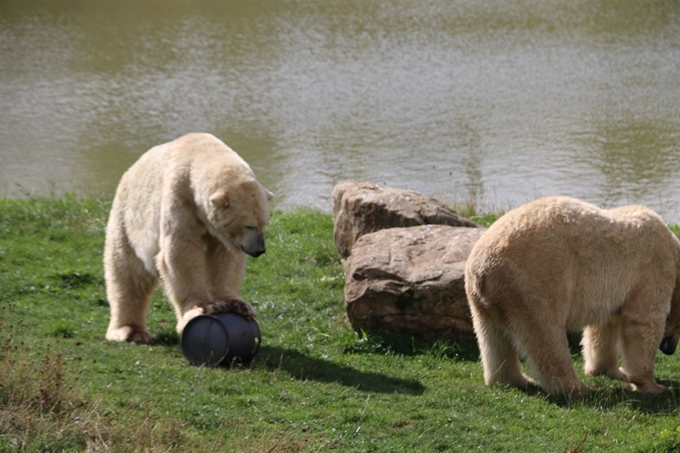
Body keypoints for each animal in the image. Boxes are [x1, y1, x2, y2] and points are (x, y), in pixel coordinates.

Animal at [103, 133, 270, 342]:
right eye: (249, 225)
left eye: (264, 223)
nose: (259, 250)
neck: (201, 152)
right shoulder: (180, 198)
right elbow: (181, 252)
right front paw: (205, 307)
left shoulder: (220, 233)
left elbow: (224, 256)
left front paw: (237, 304)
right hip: (128, 219)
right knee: (128, 271)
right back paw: (130, 330)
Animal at [464, 196, 680, 394]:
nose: (669, 350)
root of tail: (482, 269)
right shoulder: (654, 266)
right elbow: (644, 321)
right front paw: (654, 385)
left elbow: (605, 326)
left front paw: (611, 370)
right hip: (535, 282)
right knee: (546, 335)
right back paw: (575, 387)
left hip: (484, 299)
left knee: (493, 338)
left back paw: (515, 379)